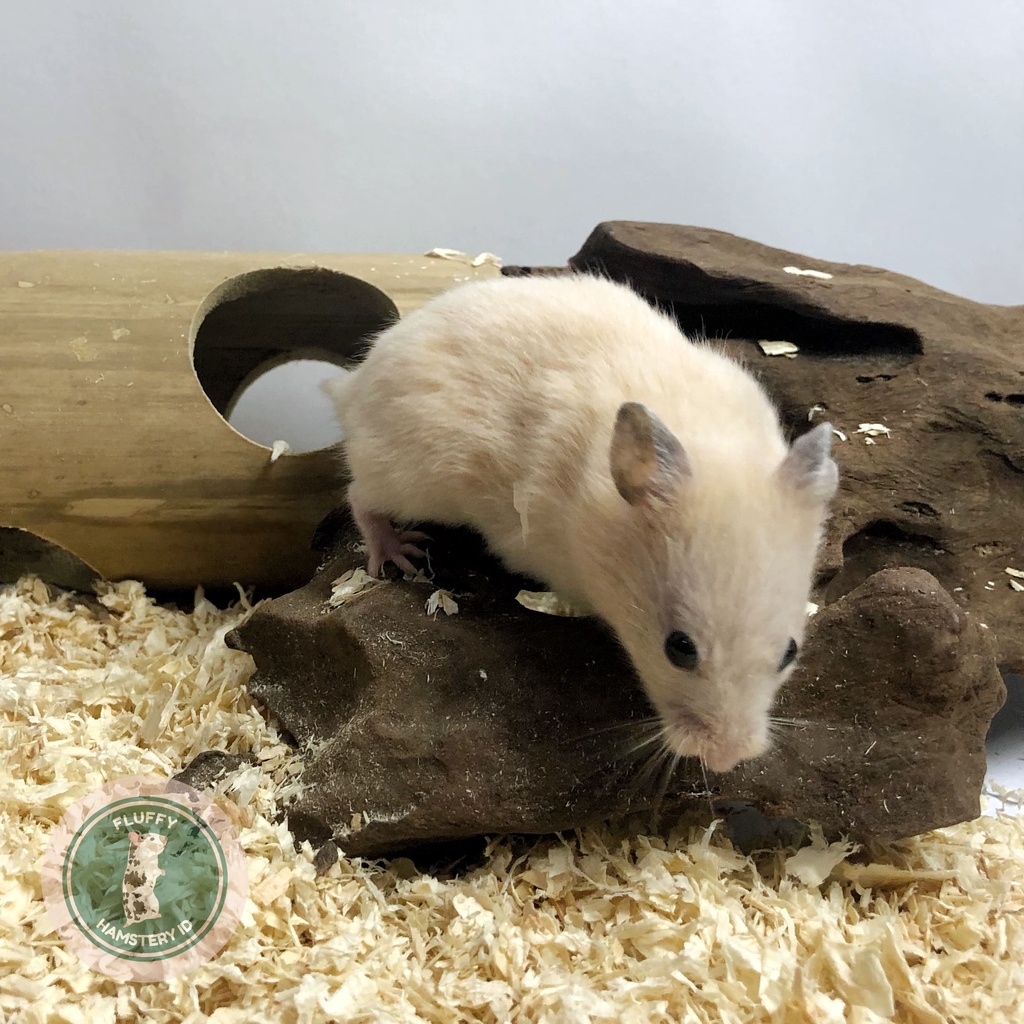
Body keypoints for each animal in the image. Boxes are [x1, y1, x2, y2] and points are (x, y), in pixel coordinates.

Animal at [324, 274, 838, 773]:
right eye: (679, 648)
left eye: (790, 651)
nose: (726, 760)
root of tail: (353, 385)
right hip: (408, 477)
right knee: (358, 496)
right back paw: (397, 556)